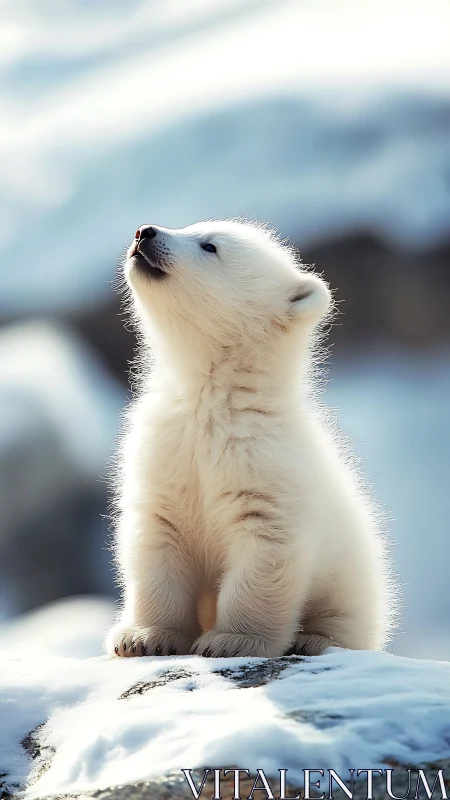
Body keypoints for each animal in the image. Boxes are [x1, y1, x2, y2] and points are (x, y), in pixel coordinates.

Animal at [105, 219, 396, 659]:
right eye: (191, 226)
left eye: (209, 246)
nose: (145, 232)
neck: (213, 399)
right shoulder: (164, 453)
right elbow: (157, 540)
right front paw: (141, 637)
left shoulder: (265, 467)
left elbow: (263, 556)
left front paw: (230, 641)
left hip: (356, 571)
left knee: (348, 617)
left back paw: (314, 638)